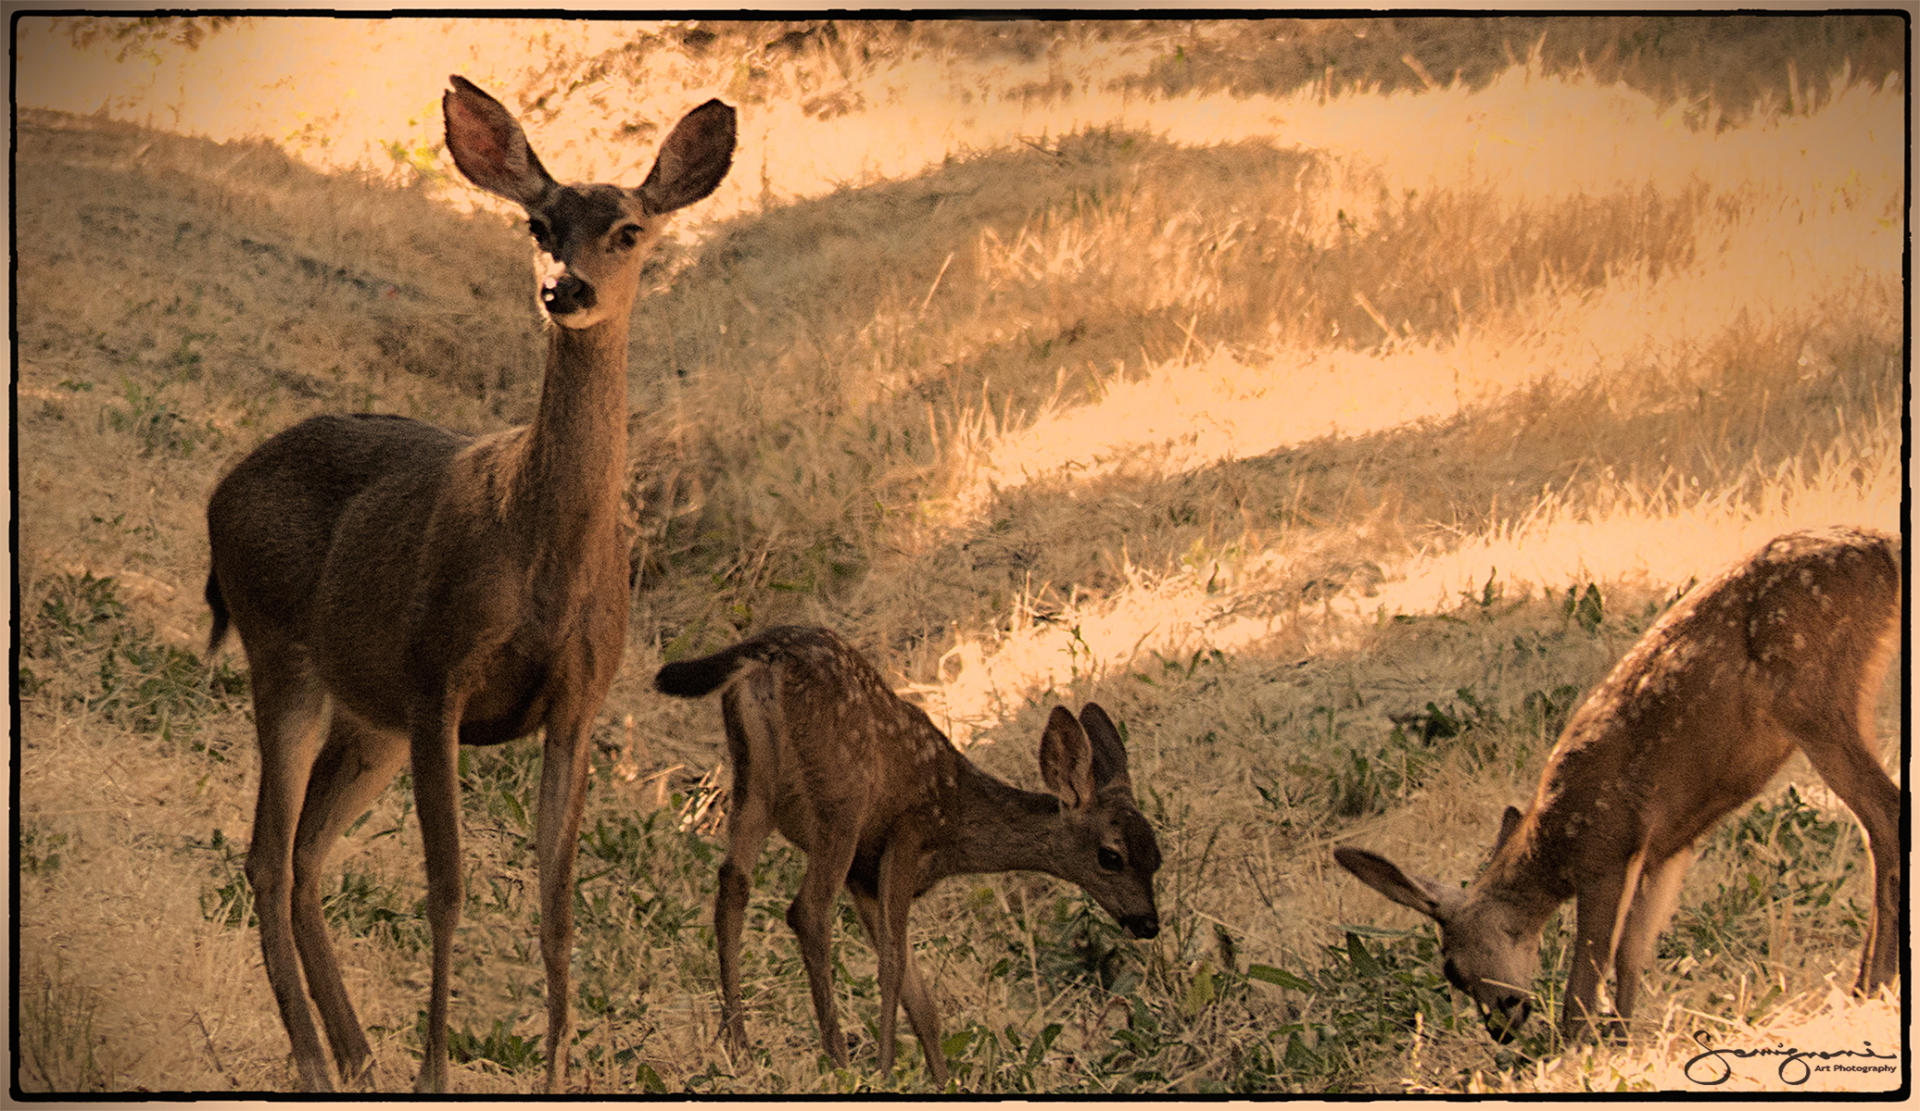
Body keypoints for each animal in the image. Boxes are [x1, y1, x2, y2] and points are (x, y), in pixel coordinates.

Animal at [208, 78, 733, 1097]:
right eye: (539, 222)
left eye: (629, 230)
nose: (564, 288)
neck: (547, 563)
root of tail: (222, 491)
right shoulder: (438, 676)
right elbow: (446, 886)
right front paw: (436, 1070)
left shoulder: (578, 700)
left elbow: (558, 906)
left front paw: (558, 1073)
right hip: (281, 649)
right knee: (264, 854)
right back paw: (316, 1056)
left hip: (367, 717)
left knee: (306, 854)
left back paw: (356, 1049)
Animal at [652, 625, 1159, 1089]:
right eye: (1110, 856)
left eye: (1156, 858)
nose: (1148, 923)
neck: (956, 821)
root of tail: (768, 651)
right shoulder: (906, 837)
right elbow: (894, 965)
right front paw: (886, 1070)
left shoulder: (864, 877)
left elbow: (922, 997)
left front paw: (943, 1080)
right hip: (844, 796)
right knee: (808, 910)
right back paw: (838, 1060)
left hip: (754, 781)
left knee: (732, 884)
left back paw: (739, 1047)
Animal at [1336, 529, 1904, 1043]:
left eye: (1451, 969)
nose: (1501, 1027)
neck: (1552, 847)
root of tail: (1885, 550)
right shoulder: (1664, 850)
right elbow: (1633, 951)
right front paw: (1624, 1035)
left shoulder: (1607, 849)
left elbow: (1587, 971)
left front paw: (1573, 1045)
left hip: (1813, 693)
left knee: (1888, 812)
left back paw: (1873, 982)